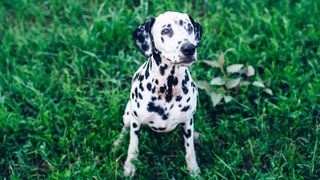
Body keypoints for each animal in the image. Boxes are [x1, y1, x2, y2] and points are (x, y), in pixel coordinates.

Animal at [114, 10, 201, 176]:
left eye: (189, 28)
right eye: (166, 31)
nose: (189, 48)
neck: (168, 87)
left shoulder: (187, 121)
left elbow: (190, 150)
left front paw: (193, 169)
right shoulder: (136, 122)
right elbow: (133, 147)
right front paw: (130, 166)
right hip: (128, 114)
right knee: (124, 128)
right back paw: (117, 143)